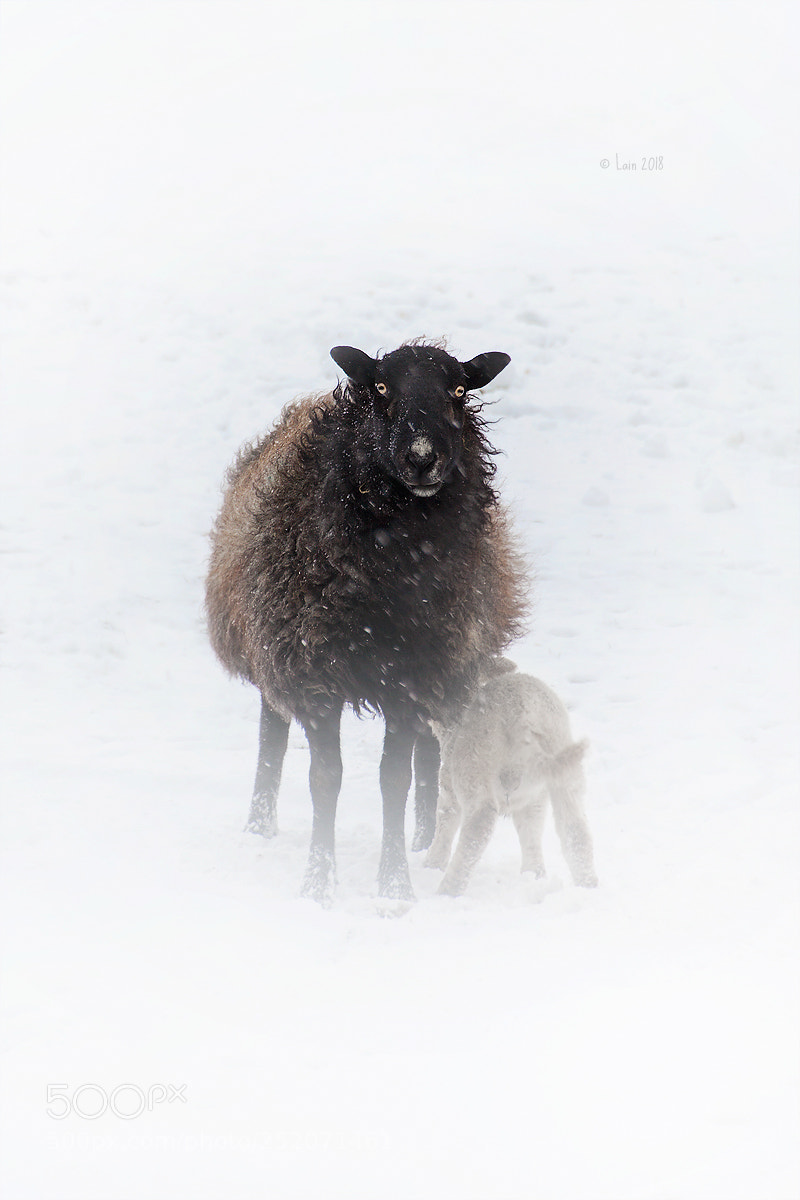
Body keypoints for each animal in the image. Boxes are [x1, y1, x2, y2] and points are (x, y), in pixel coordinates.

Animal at [205, 340, 528, 905]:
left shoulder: (413, 676)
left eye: (458, 389)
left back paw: (424, 840)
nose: (421, 457)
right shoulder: (313, 674)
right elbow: (324, 778)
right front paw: (318, 882)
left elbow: (395, 779)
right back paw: (259, 826)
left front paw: (395, 885)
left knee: (429, 756)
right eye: (380, 386)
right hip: (271, 648)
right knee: (272, 735)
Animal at [425, 669, 598, 896]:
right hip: (564, 759)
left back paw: (448, 890)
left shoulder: (448, 785)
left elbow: (445, 821)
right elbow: (531, 830)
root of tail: (524, 714)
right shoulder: (533, 795)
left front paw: (432, 863)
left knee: (480, 822)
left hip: (475, 762)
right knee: (575, 828)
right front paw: (535, 875)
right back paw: (588, 884)